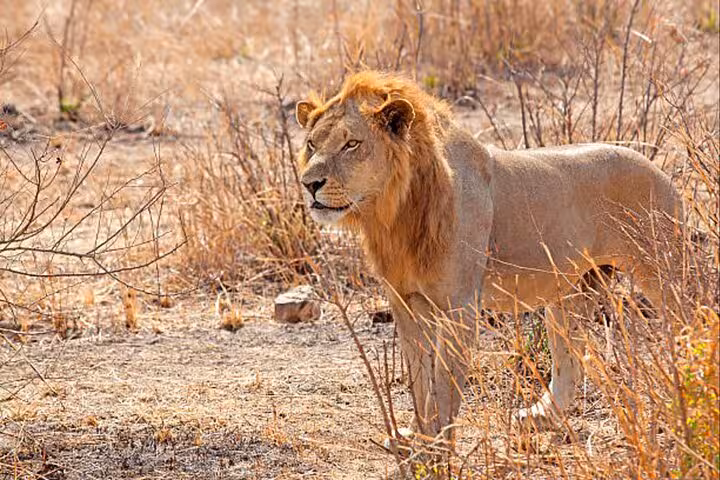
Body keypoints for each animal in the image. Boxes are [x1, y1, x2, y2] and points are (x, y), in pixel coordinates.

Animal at [294, 71, 682, 443]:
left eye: (352, 144)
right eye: (312, 144)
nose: (309, 183)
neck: (395, 212)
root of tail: (662, 173)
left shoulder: (460, 307)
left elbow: (444, 386)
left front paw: (438, 446)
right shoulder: (406, 302)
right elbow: (419, 380)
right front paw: (418, 436)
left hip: (662, 274)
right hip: (572, 292)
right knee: (569, 361)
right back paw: (540, 417)